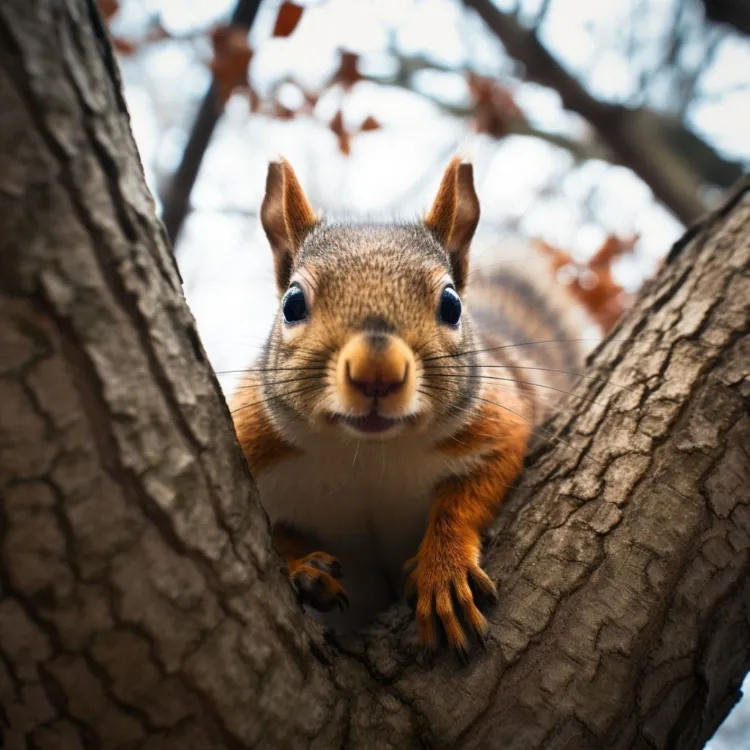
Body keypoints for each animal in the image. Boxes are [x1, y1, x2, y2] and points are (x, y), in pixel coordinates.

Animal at [231, 156, 600, 660]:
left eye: (451, 304)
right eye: (292, 303)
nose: (377, 373)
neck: (367, 453)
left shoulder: (500, 427)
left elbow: (465, 501)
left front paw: (443, 570)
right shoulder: (251, 444)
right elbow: (268, 534)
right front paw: (302, 566)